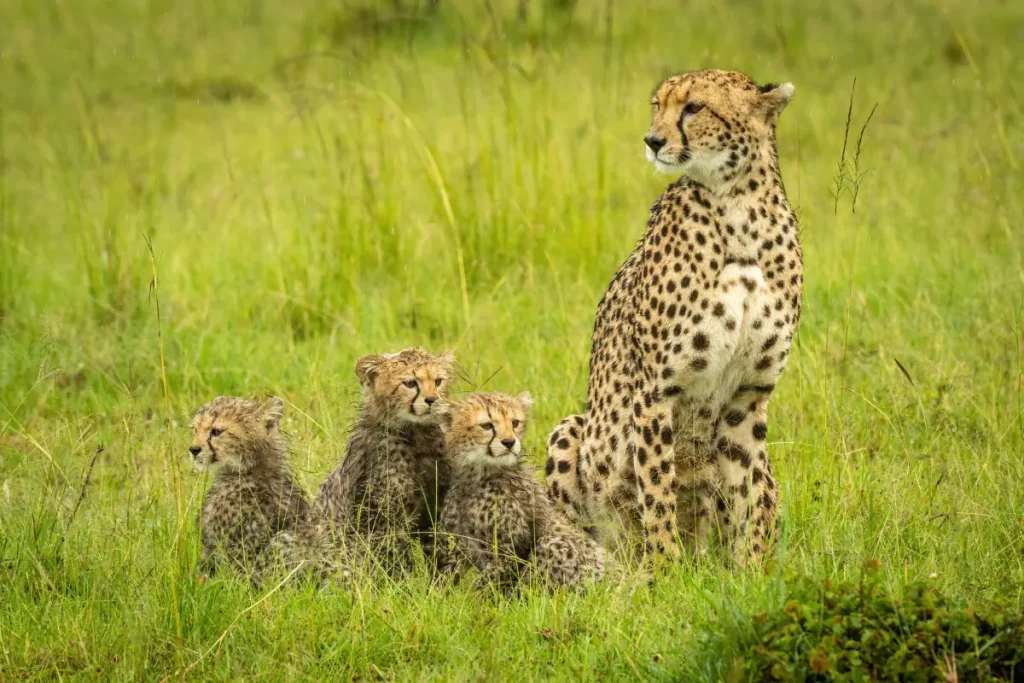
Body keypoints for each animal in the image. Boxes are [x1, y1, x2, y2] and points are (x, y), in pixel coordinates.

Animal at [548, 69, 802, 565]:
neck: (738, 206)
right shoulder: (654, 390)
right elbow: (657, 488)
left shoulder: (749, 395)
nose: (652, 140)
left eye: (694, 107)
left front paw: (749, 569)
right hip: (573, 431)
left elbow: (745, 495)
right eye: (657, 105)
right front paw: (666, 569)